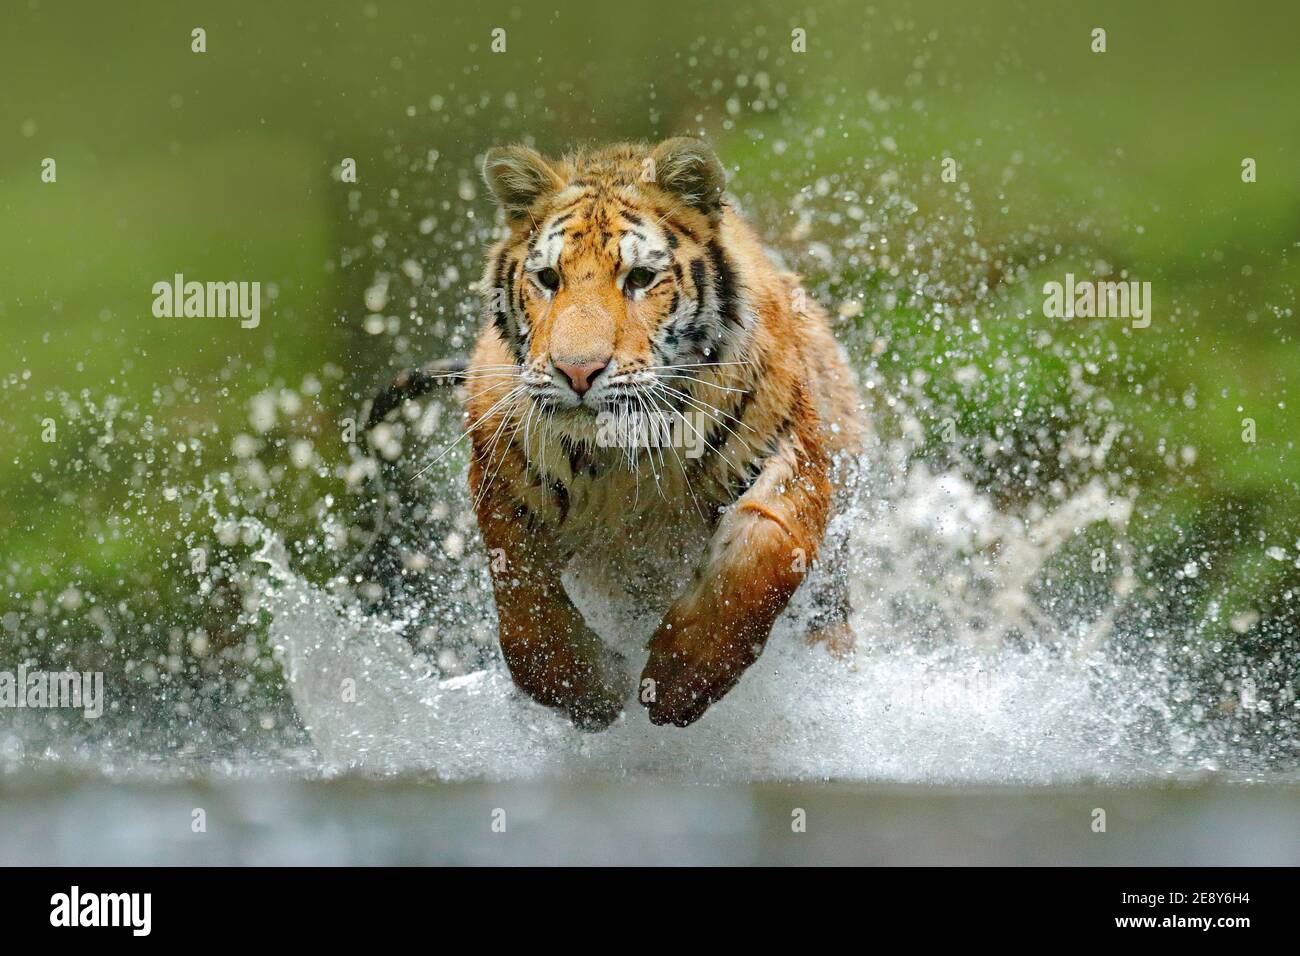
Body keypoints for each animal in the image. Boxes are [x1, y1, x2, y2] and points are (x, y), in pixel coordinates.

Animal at [452, 138, 862, 729]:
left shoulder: (790, 450)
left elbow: (763, 554)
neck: (621, 462)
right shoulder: (501, 477)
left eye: (640, 278)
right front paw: (592, 690)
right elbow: (523, 614)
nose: (577, 372)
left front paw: (679, 679)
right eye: (549, 279)